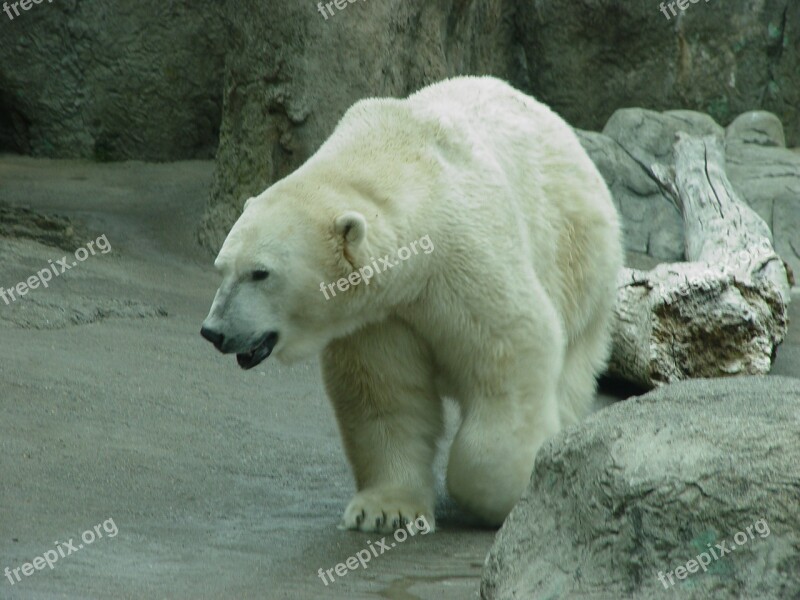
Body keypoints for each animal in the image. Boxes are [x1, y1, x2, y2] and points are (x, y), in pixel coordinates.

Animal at [202, 76, 624, 536]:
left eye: (260, 273)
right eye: (221, 267)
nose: (214, 331)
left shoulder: (465, 261)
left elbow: (510, 352)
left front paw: (501, 495)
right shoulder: (379, 315)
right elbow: (385, 394)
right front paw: (385, 511)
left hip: (579, 259)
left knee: (571, 367)